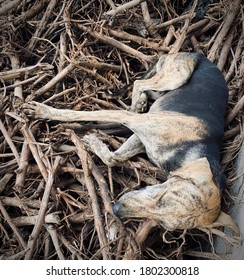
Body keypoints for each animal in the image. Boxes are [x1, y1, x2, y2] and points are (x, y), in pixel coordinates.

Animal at [22, 52, 229, 232]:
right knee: (139, 83)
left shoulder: (143, 138)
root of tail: (199, 54)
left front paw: (94, 143)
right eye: (162, 198)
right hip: (177, 75)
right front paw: (44, 111)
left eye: (164, 224)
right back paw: (138, 103)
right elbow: (81, 114)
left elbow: (114, 158)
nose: (116, 210)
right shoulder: (134, 120)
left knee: (146, 90)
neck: (190, 152)